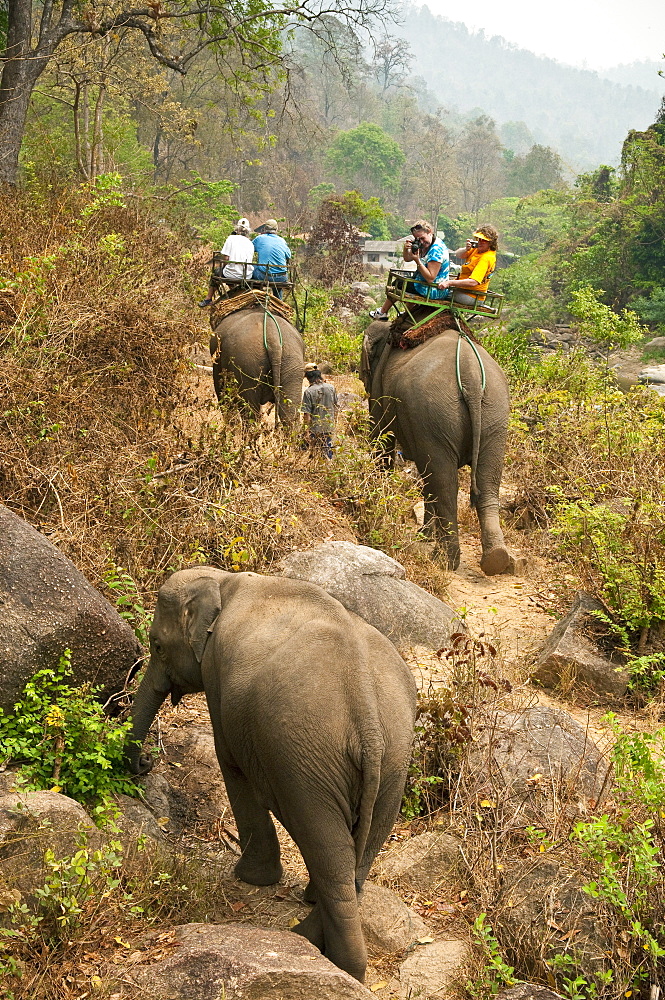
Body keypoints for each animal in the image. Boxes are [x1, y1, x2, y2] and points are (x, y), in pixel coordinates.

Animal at [125, 568, 416, 980]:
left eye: (157, 645)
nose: (146, 764)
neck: (222, 580)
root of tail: (369, 719)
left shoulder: (217, 675)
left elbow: (231, 764)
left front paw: (250, 878)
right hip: (393, 764)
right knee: (356, 858)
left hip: (306, 760)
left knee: (329, 854)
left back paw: (328, 955)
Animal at [364, 312, 512, 580]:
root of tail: (471, 375)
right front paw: (424, 535)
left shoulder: (380, 385)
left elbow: (382, 437)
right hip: (495, 413)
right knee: (485, 482)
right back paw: (495, 559)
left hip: (432, 412)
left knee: (443, 482)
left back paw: (444, 561)